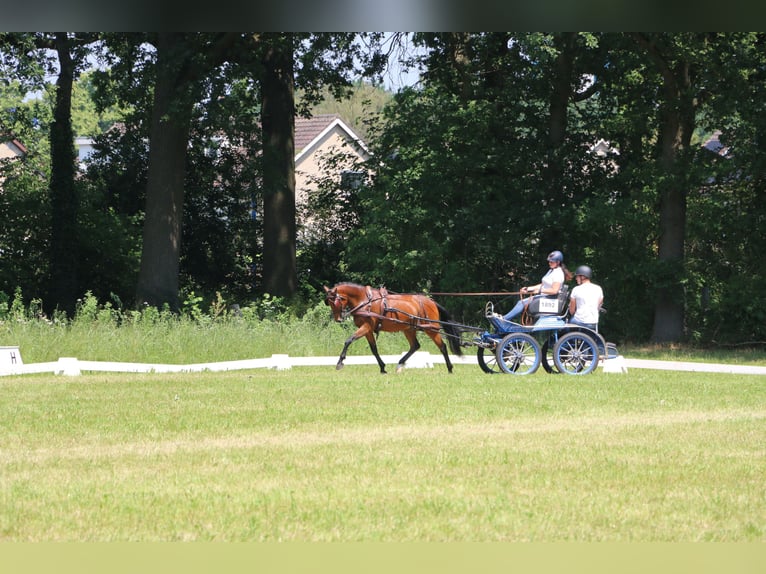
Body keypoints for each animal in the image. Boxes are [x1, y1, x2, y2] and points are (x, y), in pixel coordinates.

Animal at [323, 282, 463, 374]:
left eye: (335, 301)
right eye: (328, 302)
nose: (338, 319)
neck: (365, 301)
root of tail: (431, 302)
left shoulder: (367, 326)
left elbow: (349, 340)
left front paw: (340, 362)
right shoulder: (368, 330)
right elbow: (374, 349)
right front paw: (382, 368)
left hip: (430, 329)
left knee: (442, 346)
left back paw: (450, 368)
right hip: (409, 329)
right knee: (415, 346)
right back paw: (400, 364)